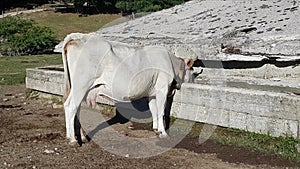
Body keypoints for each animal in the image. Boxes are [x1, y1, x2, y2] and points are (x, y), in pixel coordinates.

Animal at [61, 33, 197, 145]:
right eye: (193, 72)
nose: (194, 82)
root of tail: (77, 38)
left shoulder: (152, 92)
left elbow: (154, 110)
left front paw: (156, 129)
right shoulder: (162, 89)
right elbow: (161, 111)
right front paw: (163, 133)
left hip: (80, 88)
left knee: (74, 108)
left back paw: (78, 137)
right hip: (81, 85)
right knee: (71, 106)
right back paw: (73, 140)